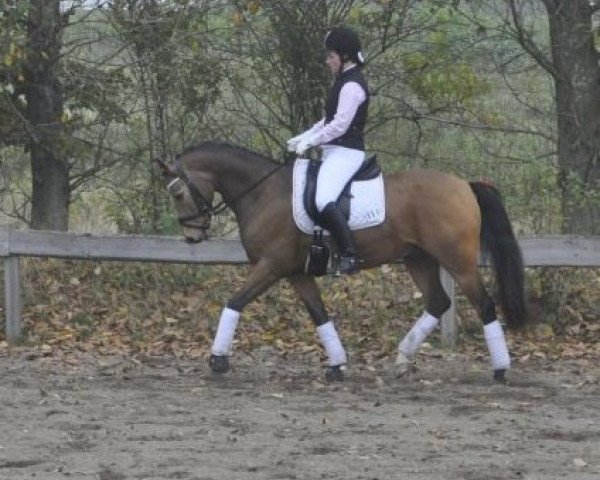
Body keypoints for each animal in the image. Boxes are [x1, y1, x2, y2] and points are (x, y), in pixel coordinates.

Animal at [156, 142, 528, 382]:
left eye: (177, 193)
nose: (192, 237)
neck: (263, 192)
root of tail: (464, 185)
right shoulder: (296, 272)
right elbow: (319, 314)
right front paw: (336, 365)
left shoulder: (271, 265)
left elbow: (235, 301)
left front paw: (218, 360)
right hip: (418, 259)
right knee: (438, 302)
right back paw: (402, 359)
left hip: (458, 262)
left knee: (485, 305)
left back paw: (500, 369)